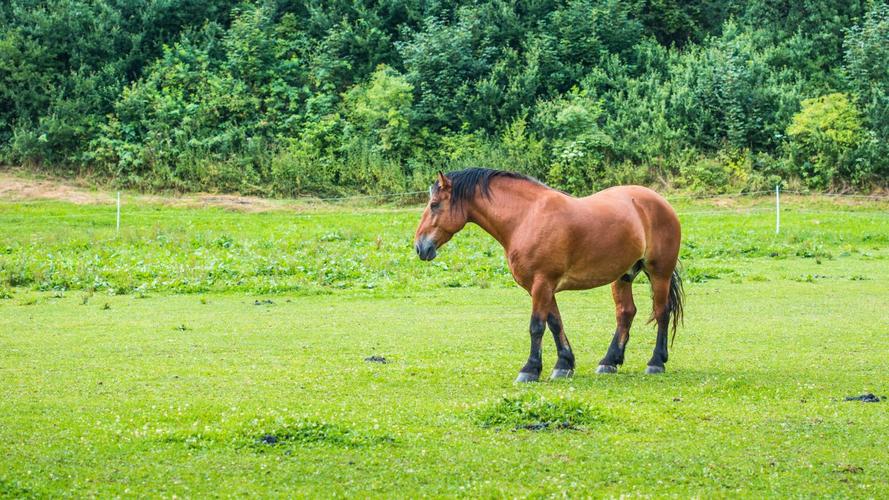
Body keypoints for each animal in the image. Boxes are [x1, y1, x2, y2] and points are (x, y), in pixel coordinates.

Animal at [413, 168, 684, 382]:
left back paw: (656, 362)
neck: (526, 218)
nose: (420, 247)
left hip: (659, 273)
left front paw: (530, 369)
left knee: (661, 312)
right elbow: (555, 323)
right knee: (625, 313)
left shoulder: (542, 284)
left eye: (434, 205)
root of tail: (659, 201)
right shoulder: (542, 287)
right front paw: (564, 364)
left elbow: (537, 326)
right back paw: (609, 361)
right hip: (623, 275)